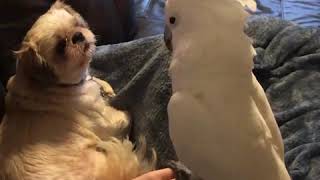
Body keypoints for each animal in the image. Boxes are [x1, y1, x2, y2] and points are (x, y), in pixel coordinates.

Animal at [0, 0, 155, 179]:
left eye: (77, 24)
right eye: (61, 47)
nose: (78, 36)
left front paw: (106, 88)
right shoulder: (109, 120)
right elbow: (126, 115)